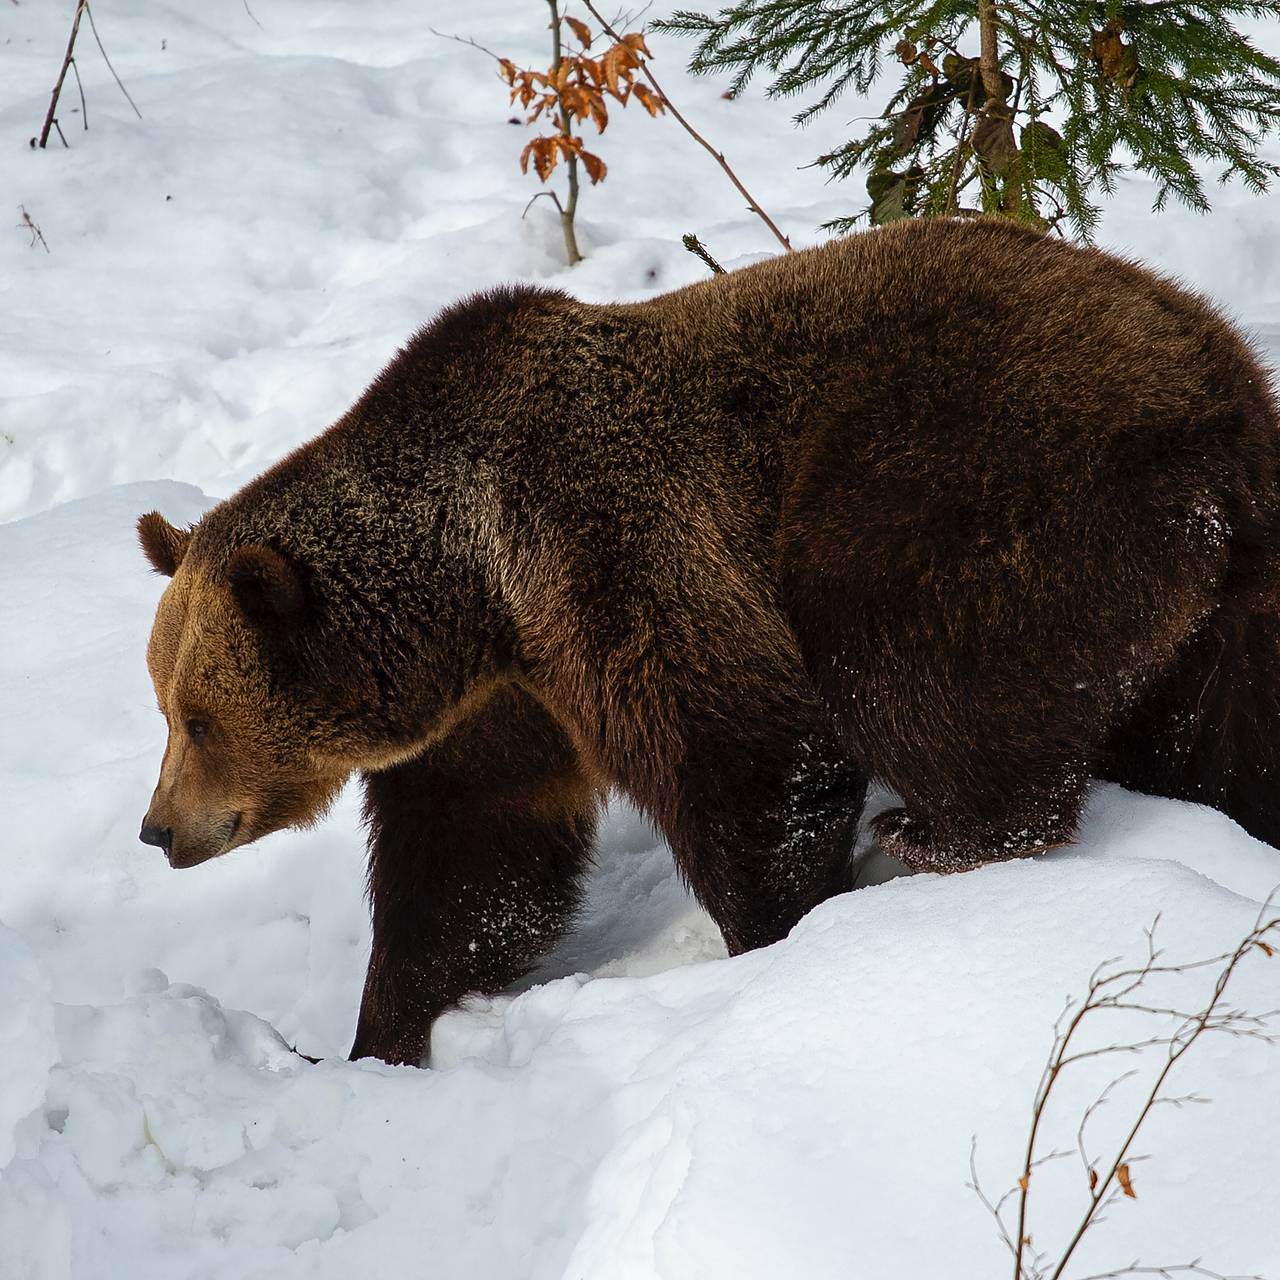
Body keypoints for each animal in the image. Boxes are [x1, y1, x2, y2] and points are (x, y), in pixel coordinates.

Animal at [137, 217, 1280, 1059]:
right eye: (165, 706)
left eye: (199, 717)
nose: (157, 827)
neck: (474, 583)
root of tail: (1225, 403)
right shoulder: (501, 700)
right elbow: (473, 864)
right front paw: (379, 1036)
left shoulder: (610, 547)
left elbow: (752, 757)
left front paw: (779, 941)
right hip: (1212, 612)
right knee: (1212, 745)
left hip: (972, 480)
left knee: (913, 666)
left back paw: (938, 832)